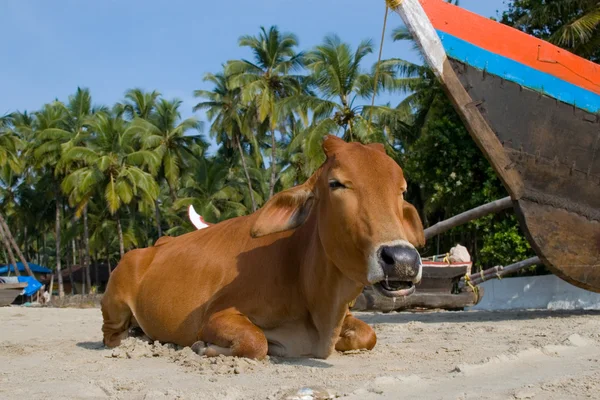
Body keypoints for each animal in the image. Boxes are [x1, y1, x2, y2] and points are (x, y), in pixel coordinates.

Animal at [99, 136, 426, 360]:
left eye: (402, 190)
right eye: (336, 183)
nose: (402, 259)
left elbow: (369, 335)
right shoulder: (215, 315)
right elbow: (257, 342)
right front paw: (204, 347)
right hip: (114, 300)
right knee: (110, 336)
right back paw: (136, 339)